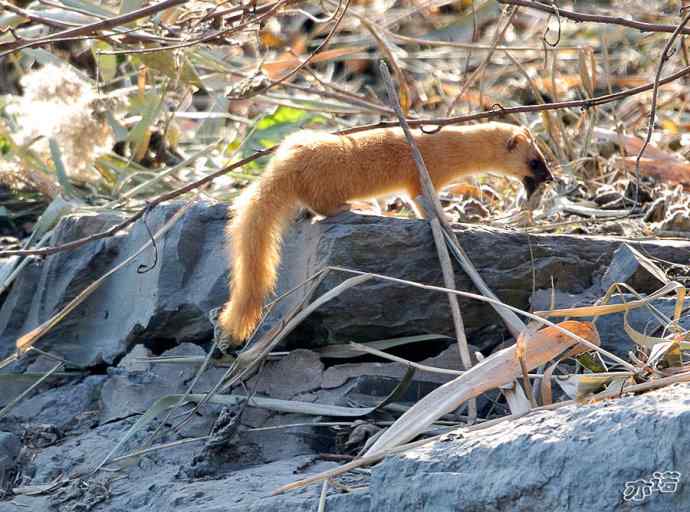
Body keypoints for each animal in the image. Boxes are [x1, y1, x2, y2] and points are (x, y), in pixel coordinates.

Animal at [218, 121, 552, 344]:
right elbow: (423, 204)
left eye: (545, 157)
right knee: (322, 205)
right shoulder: (423, 176)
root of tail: (283, 163)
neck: (447, 146)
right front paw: (451, 220)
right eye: (535, 161)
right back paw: (352, 206)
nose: (550, 178)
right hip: (325, 184)